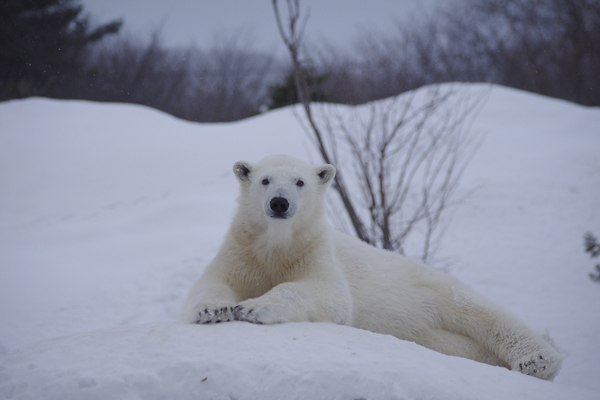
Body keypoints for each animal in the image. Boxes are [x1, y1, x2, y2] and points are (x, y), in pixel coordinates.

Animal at [180, 154, 564, 382]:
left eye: (300, 182)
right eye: (264, 180)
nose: (279, 202)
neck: (277, 246)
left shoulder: (314, 252)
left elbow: (327, 294)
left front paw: (254, 307)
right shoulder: (242, 252)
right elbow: (213, 282)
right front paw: (214, 309)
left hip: (432, 287)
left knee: (484, 313)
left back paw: (538, 359)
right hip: (426, 331)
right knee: (455, 342)